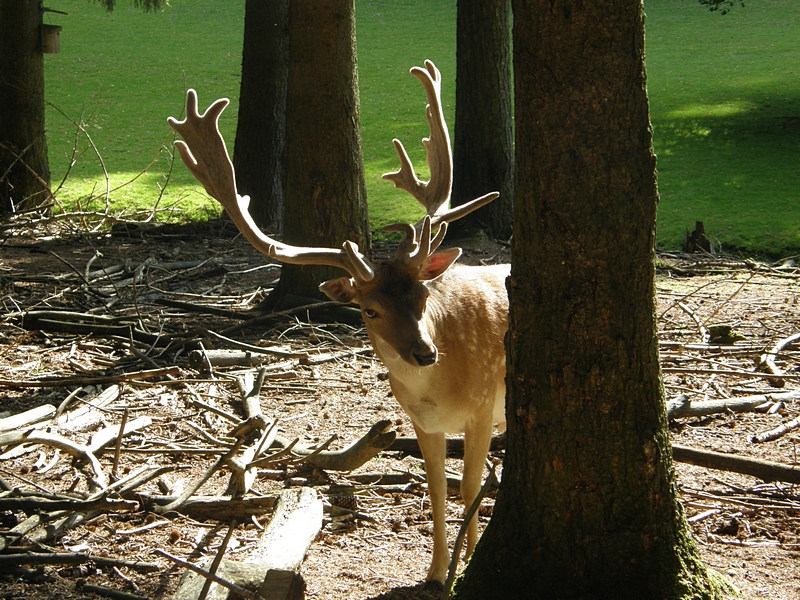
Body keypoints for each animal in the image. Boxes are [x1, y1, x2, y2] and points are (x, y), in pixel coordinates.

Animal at [166, 61, 510, 584]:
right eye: (369, 310)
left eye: (424, 294)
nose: (424, 352)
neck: (439, 390)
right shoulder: (423, 423)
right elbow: (439, 491)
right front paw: (436, 573)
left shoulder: (484, 404)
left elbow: (470, 489)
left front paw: (463, 566)